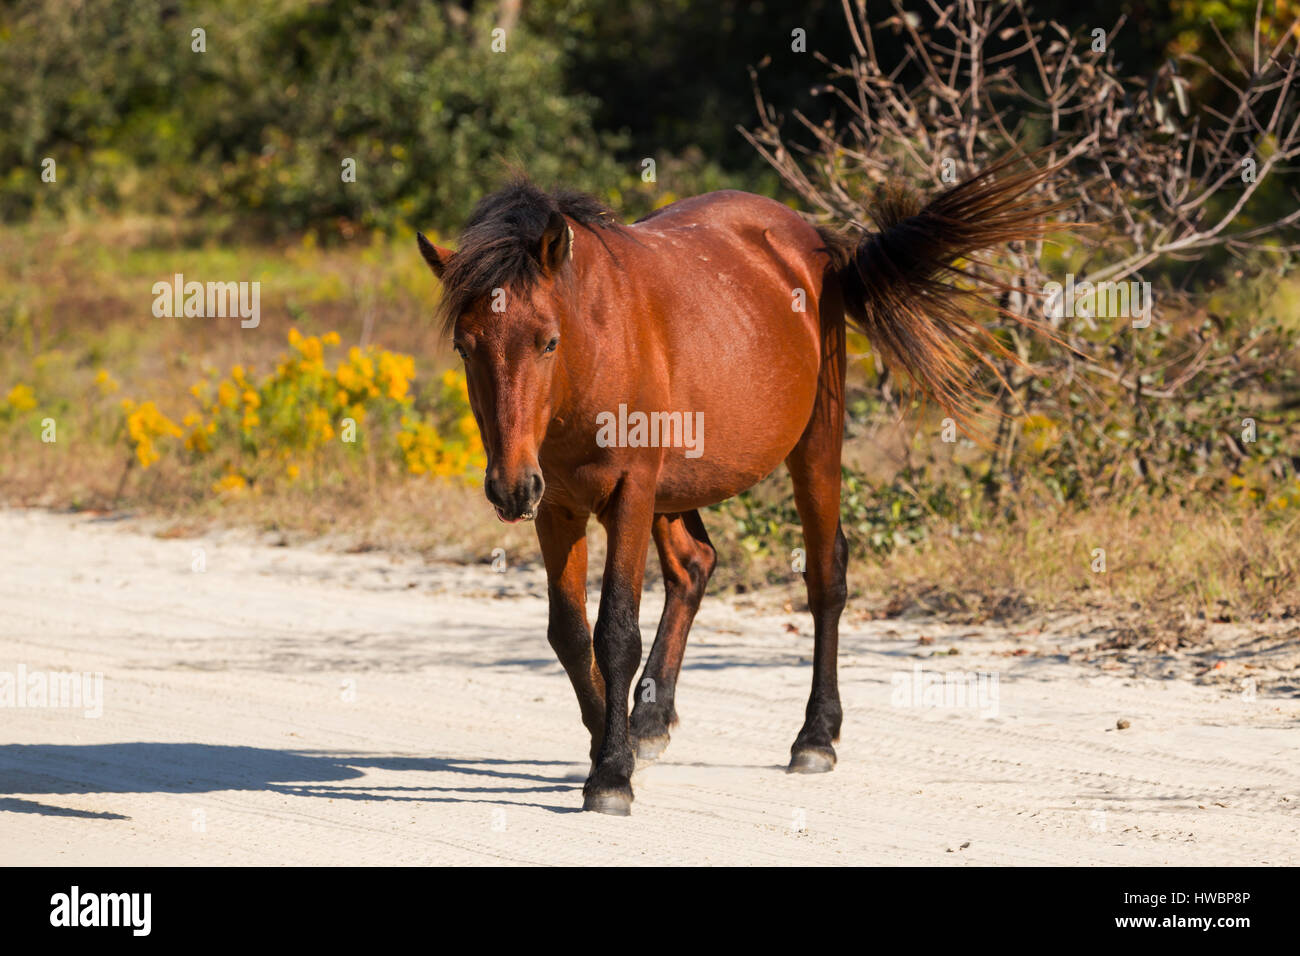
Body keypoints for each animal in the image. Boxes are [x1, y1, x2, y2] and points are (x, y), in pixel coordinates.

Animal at [421, 157, 1060, 816]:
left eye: (548, 340)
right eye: (464, 347)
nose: (509, 488)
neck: (593, 351)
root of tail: (812, 240)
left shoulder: (629, 493)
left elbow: (616, 629)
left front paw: (611, 773)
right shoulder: (558, 508)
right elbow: (570, 635)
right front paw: (610, 743)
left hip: (814, 445)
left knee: (825, 577)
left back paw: (815, 737)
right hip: (670, 490)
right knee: (693, 566)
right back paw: (650, 720)